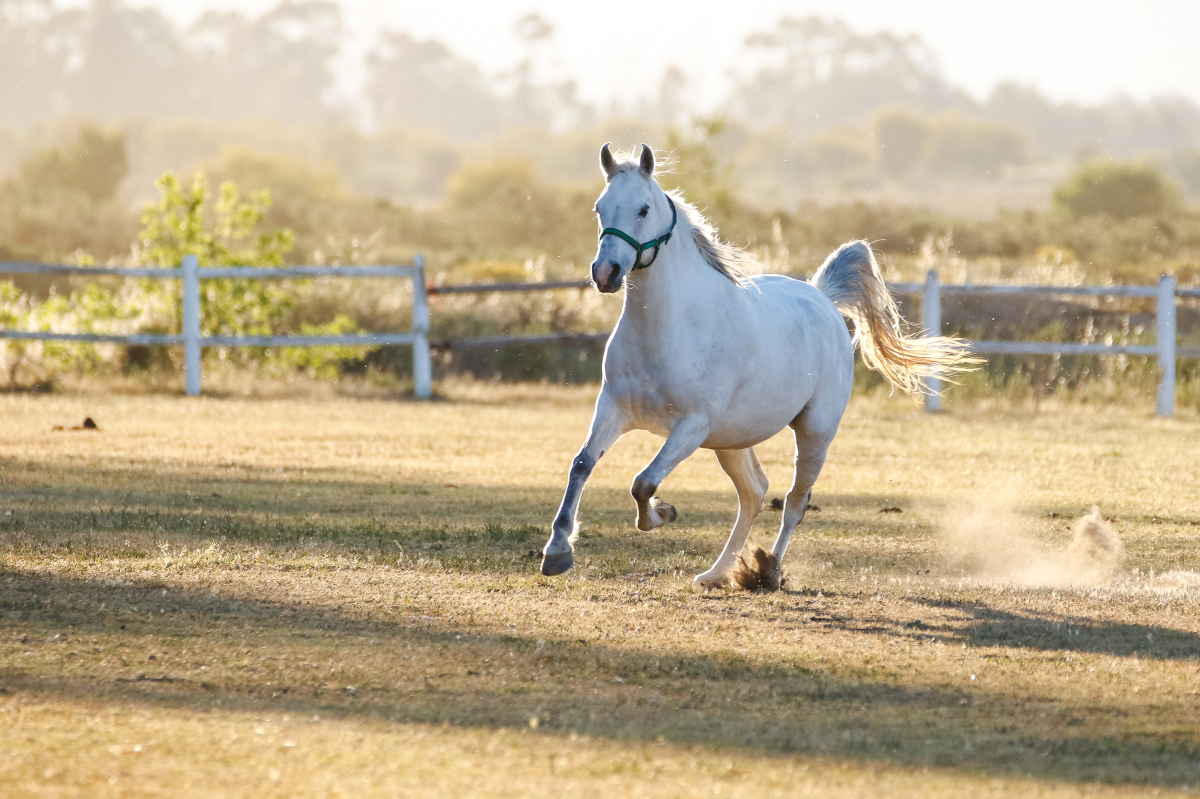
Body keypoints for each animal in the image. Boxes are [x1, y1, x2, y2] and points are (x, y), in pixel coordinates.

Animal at [540, 144, 969, 590]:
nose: (605, 273)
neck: (669, 327)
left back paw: (769, 570)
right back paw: (717, 573)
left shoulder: (691, 427)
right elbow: (582, 465)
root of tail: (821, 297)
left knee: (795, 501)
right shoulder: (614, 408)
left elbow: (644, 483)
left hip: (814, 432)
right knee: (754, 492)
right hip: (732, 440)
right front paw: (557, 551)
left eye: (643, 209)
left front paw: (663, 513)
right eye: (600, 207)